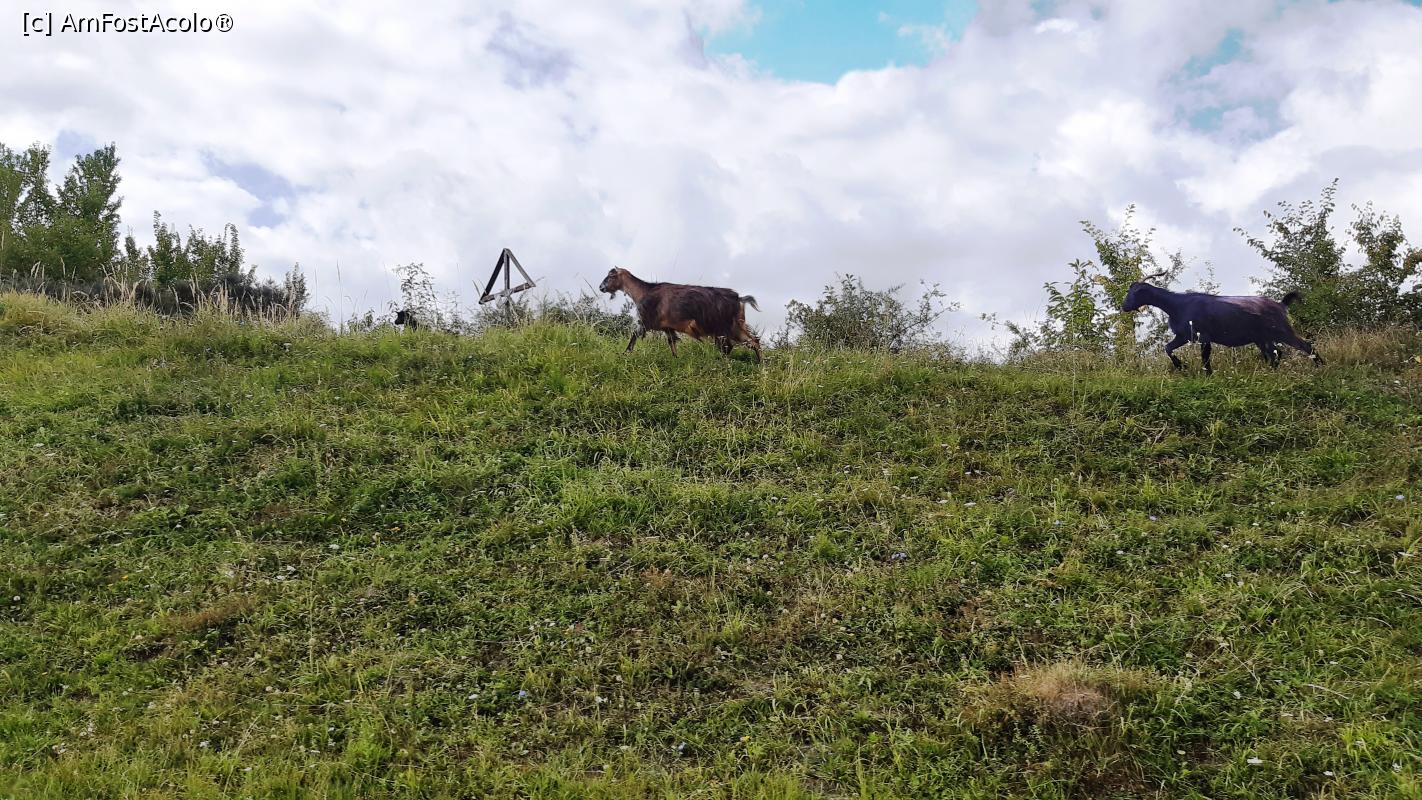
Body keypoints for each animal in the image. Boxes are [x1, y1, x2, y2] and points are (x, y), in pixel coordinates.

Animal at [598, 267, 762, 362]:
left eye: (610, 276)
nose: (601, 287)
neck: (643, 291)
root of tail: (739, 298)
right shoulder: (667, 327)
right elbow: (672, 342)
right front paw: (676, 358)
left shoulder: (646, 322)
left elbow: (634, 335)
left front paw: (625, 353)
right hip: (736, 326)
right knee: (753, 341)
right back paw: (761, 364)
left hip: (723, 328)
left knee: (729, 346)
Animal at [1121, 276, 1322, 374]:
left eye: (1137, 292)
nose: (1124, 306)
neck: (1177, 305)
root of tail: (1281, 304)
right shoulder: (1184, 336)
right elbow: (1167, 348)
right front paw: (1181, 366)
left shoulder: (1204, 335)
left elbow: (1205, 358)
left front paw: (1207, 375)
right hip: (1263, 338)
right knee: (1275, 354)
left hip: (1282, 331)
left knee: (1306, 346)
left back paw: (1321, 368)